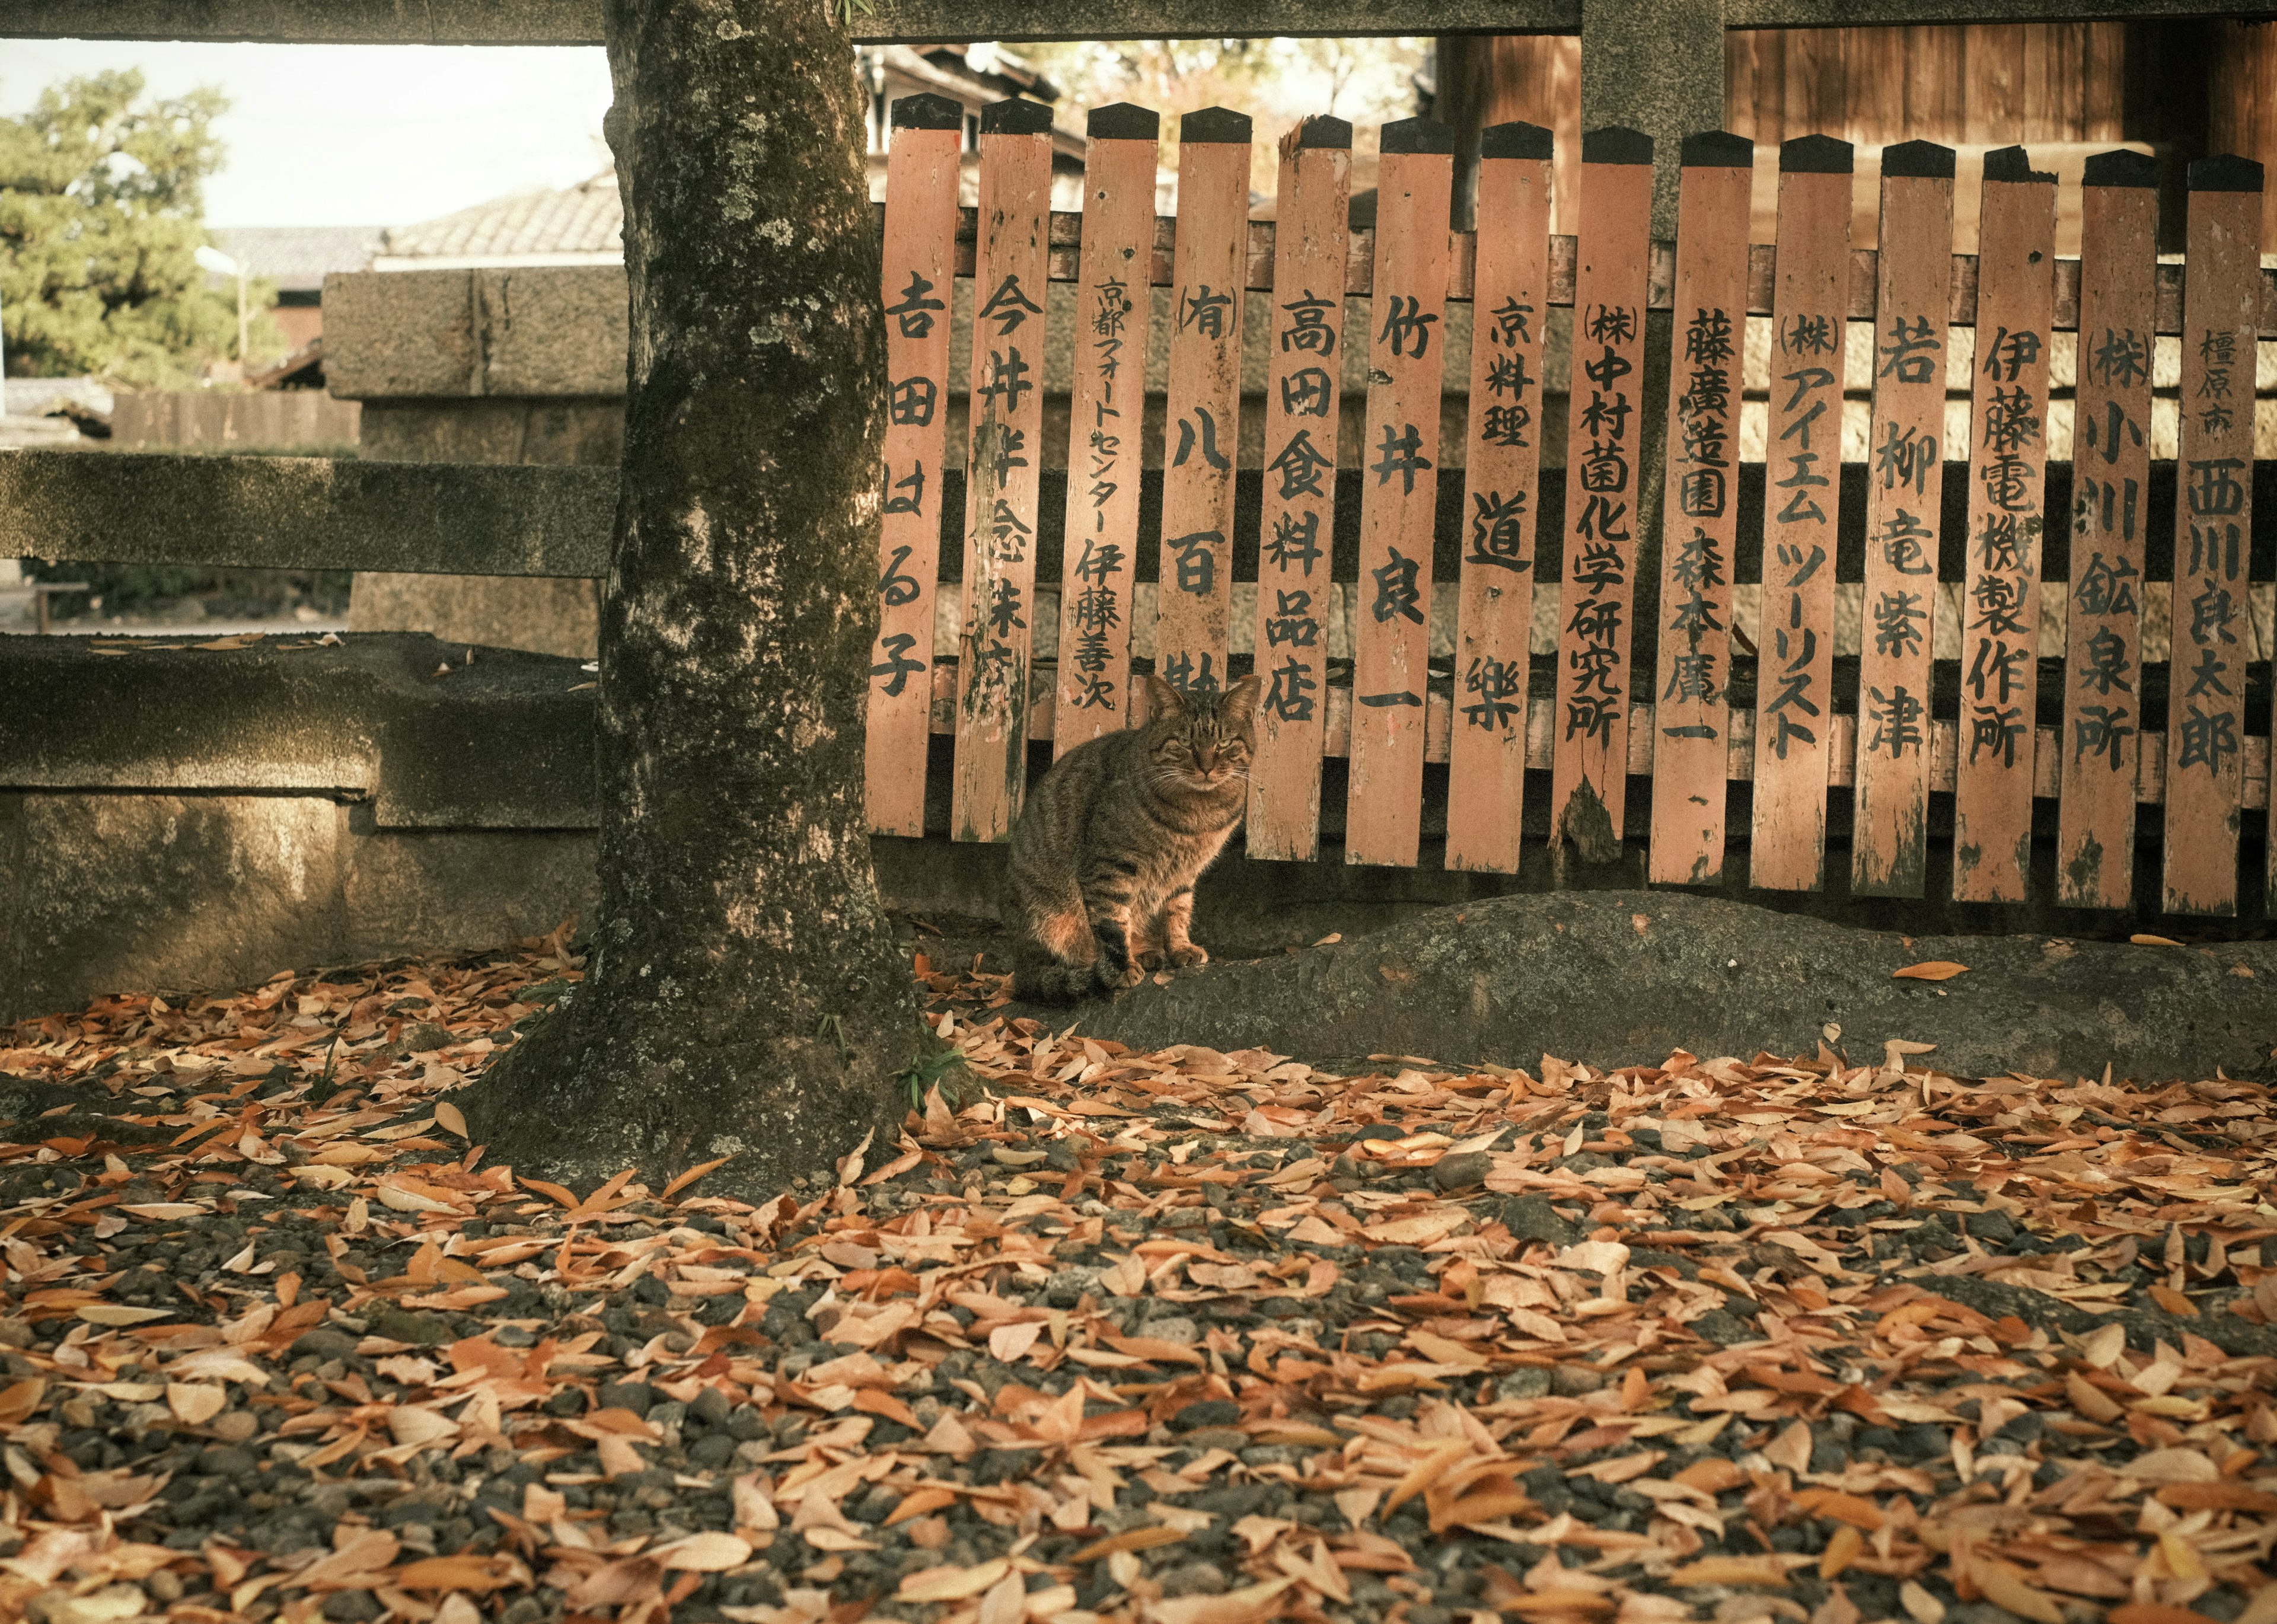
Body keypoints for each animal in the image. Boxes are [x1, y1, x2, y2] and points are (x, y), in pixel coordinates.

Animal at [1010, 661, 1266, 993]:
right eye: (1185, 743)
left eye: (1224, 743)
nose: (1207, 767)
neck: (1200, 811)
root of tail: (1019, 965)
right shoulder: (1109, 866)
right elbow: (1112, 924)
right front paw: (1120, 970)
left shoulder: (1184, 873)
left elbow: (1178, 910)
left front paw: (1180, 947)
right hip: (1049, 920)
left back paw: (1148, 953)